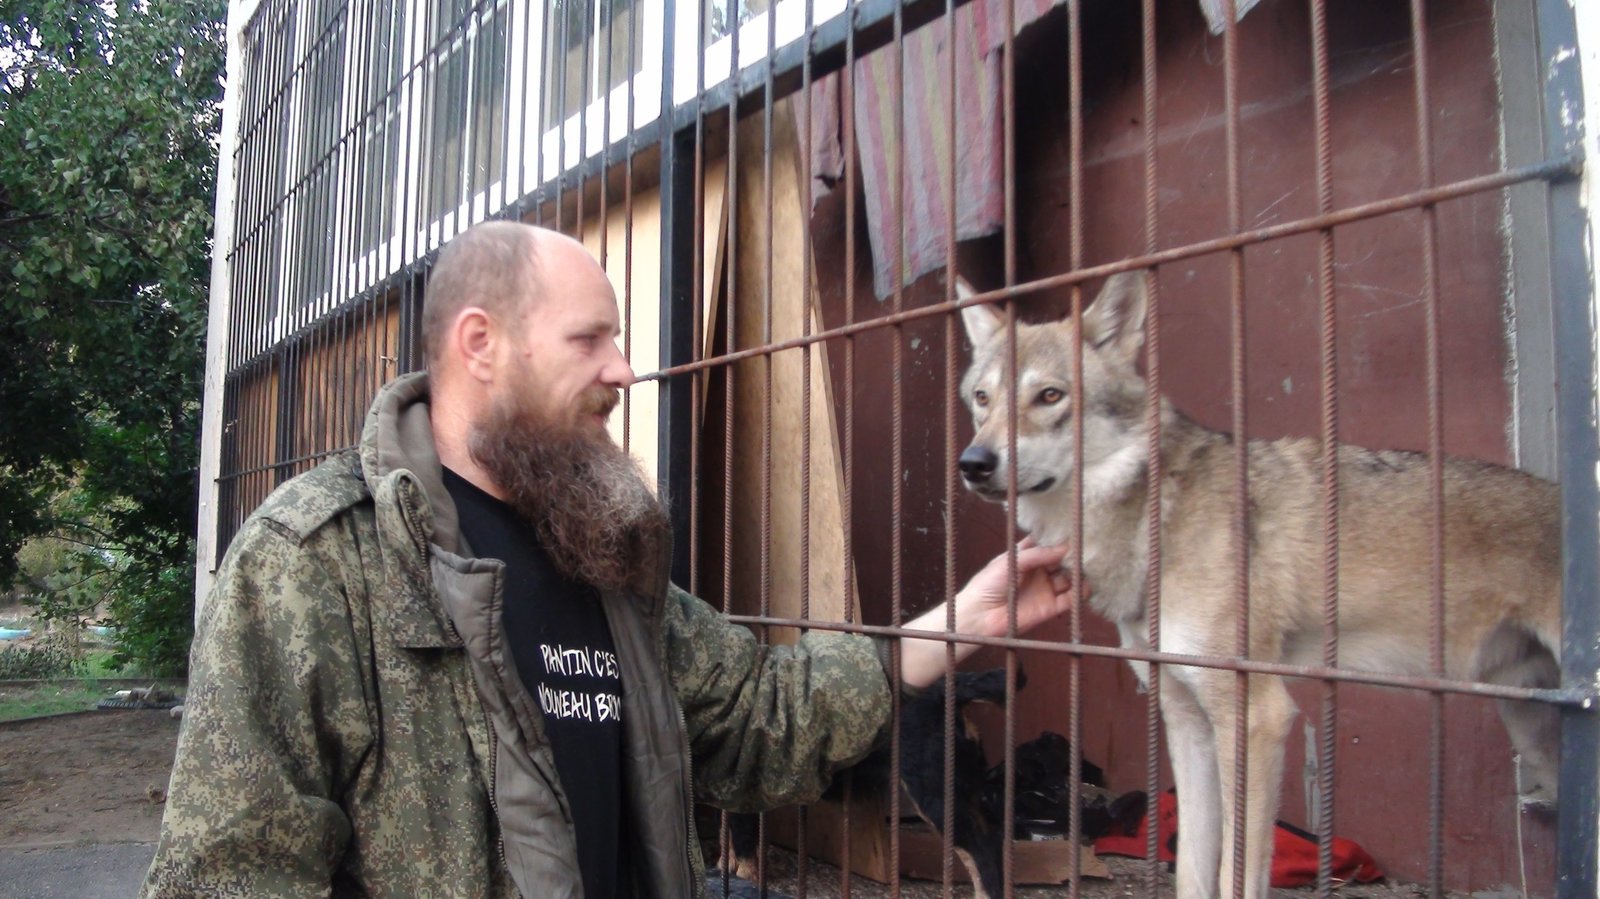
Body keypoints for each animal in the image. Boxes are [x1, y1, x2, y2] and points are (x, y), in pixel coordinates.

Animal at [953, 273, 1555, 895]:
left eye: (1050, 396)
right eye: (982, 399)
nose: (973, 462)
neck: (1157, 517)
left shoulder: (1255, 717)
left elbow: (1234, 874)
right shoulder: (1186, 720)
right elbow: (1194, 867)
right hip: (1531, 736)